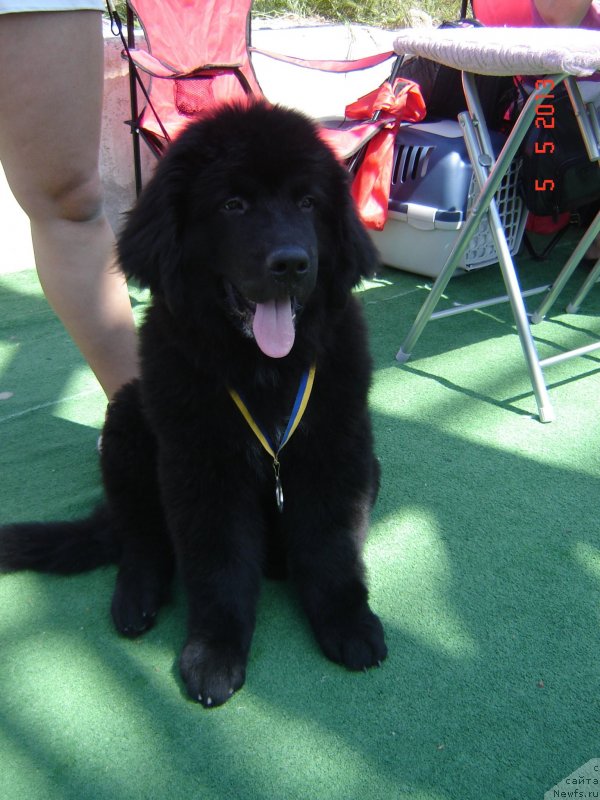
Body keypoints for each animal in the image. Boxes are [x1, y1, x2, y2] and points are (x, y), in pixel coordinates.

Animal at [0, 101, 386, 708]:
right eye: (233, 205)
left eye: (307, 203)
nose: (292, 263)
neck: (264, 370)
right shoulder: (200, 466)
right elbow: (218, 563)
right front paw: (214, 653)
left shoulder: (337, 450)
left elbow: (331, 544)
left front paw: (348, 622)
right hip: (129, 426)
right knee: (141, 536)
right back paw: (135, 599)